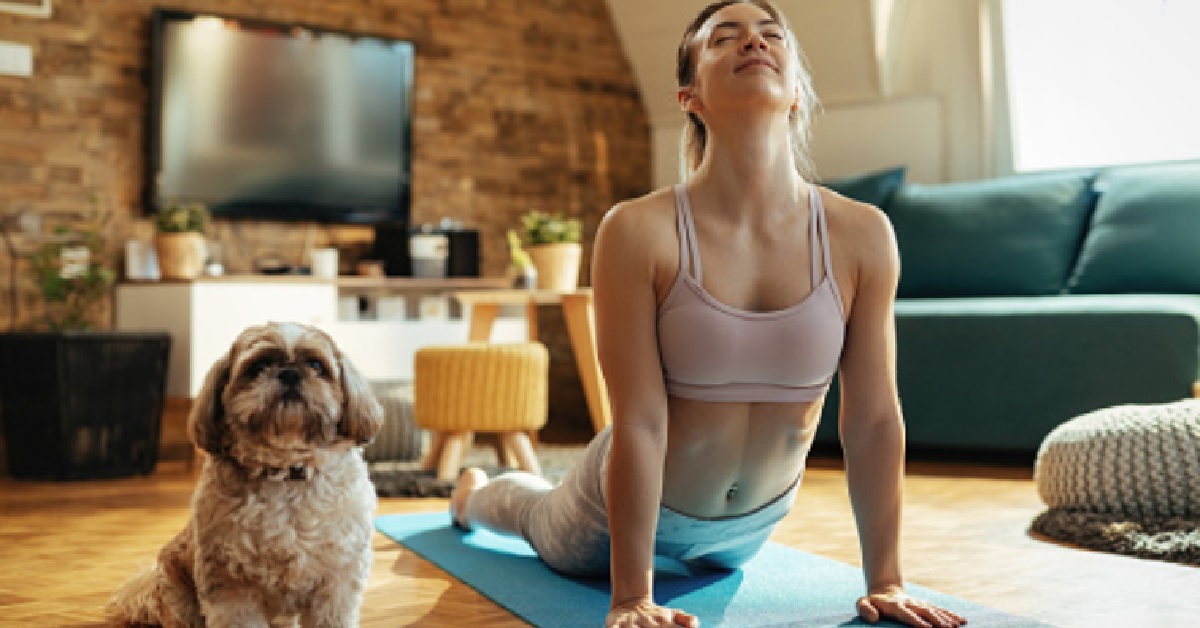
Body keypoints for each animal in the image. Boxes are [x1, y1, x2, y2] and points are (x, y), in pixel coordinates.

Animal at [108, 324, 381, 628]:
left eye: (315, 365)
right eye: (258, 367)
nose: (289, 373)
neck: (286, 470)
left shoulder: (335, 584)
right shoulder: (231, 587)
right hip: (178, 599)